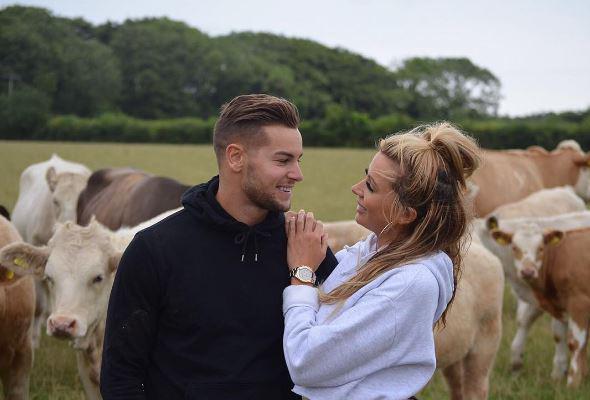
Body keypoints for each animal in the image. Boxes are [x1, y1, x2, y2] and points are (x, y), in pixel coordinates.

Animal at [492, 227, 590, 390]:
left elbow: (576, 343)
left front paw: (573, 382)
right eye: (515, 247)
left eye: (541, 248)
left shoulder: (579, 303)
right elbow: (560, 336)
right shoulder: (560, 306)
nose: (528, 271)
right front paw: (560, 378)